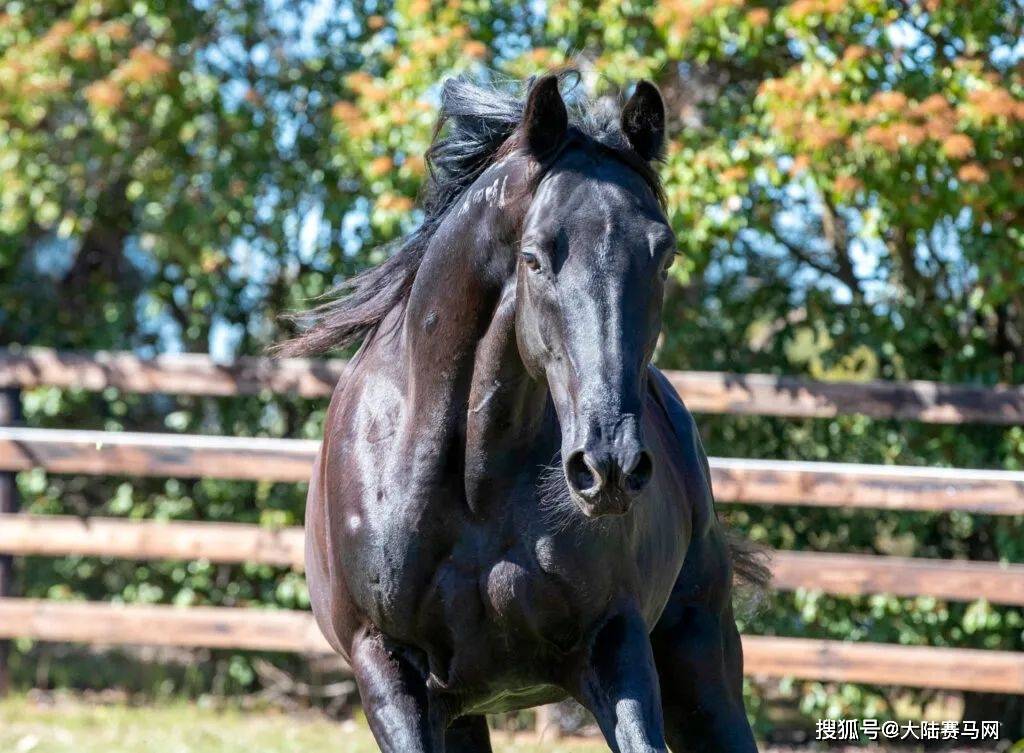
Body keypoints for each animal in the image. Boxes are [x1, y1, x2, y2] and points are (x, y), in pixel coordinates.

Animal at [280, 71, 768, 753]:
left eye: (664, 255)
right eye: (534, 256)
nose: (609, 466)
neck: (470, 484)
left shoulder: (614, 644)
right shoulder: (387, 669)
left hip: (700, 662)